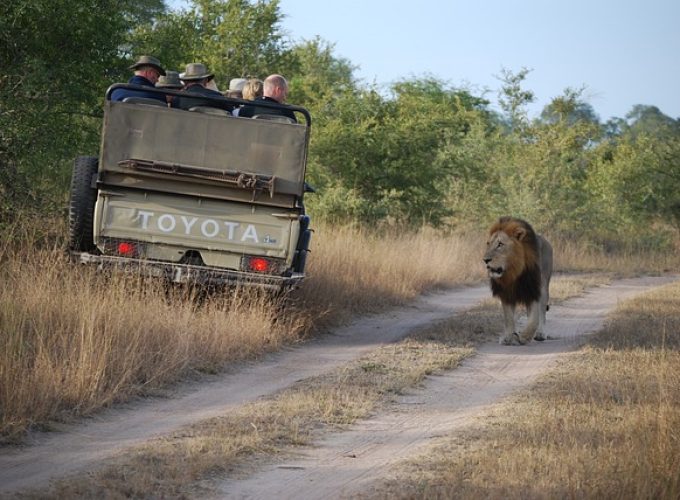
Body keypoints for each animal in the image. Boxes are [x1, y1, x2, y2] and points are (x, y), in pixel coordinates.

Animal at [484, 217, 552, 346]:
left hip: (544, 286)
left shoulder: (533, 289)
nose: (485, 260)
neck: (514, 272)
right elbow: (509, 318)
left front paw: (525, 336)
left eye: (500, 244)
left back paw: (540, 334)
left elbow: (535, 318)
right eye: (488, 244)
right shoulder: (506, 293)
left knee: (542, 311)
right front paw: (508, 337)